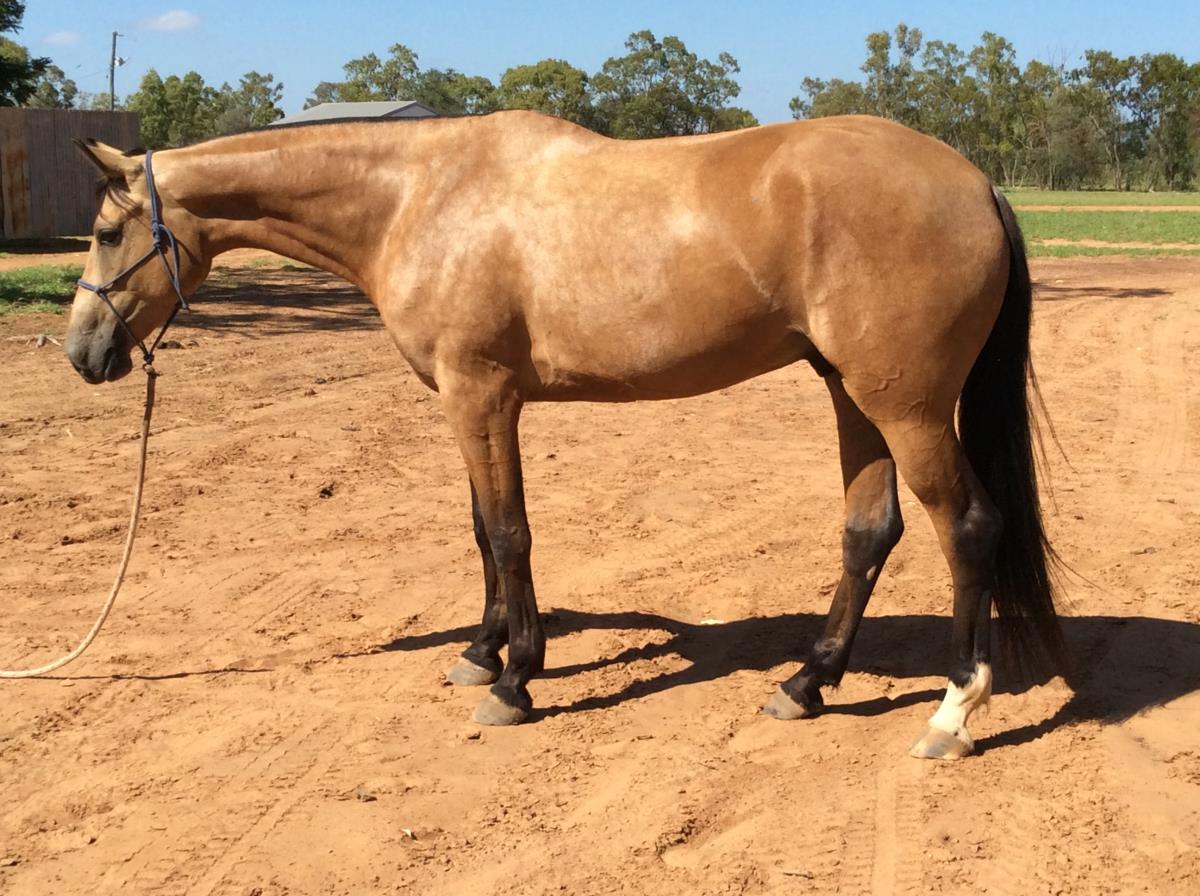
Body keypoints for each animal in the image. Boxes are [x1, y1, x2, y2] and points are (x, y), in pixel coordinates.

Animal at [65, 111, 1069, 759]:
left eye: (109, 231)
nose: (83, 351)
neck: (417, 197)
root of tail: (976, 182)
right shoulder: (473, 403)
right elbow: (482, 532)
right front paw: (479, 655)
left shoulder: (479, 397)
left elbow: (509, 534)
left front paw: (517, 682)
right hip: (854, 396)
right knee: (870, 532)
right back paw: (805, 684)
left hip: (905, 405)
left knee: (967, 529)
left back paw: (952, 714)